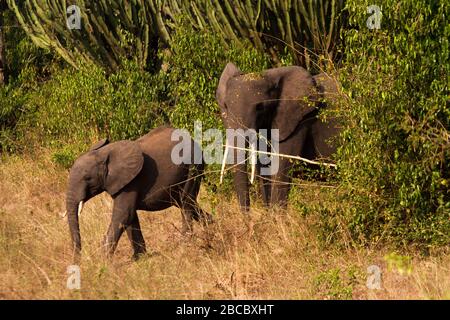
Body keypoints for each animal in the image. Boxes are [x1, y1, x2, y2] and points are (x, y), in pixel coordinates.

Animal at [65, 125, 213, 260]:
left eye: (87, 178)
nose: (79, 260)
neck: (104, 153)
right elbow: (130, 217)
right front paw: (138, 258)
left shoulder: (131, 182)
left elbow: (123, 215)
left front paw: (103, 260)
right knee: (188, 204)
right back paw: (211, 228)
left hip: (192, 167)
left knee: (186, 203)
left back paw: (185, 244)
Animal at [216, 62, 340, 212]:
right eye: (225, 106)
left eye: (260, 107)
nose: (247, 217)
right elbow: (264, 169)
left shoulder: (299, 120)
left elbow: (280, 167)